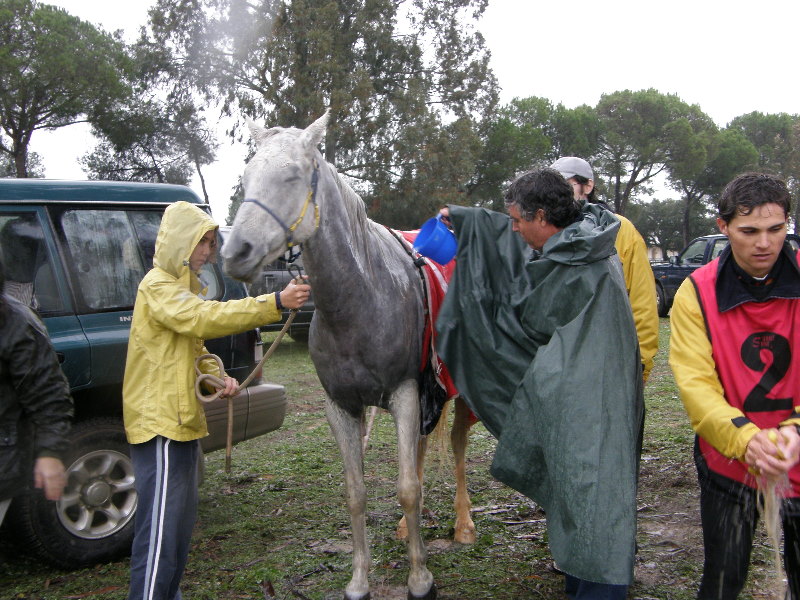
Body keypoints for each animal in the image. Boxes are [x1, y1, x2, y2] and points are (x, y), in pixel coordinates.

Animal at [220, 112, 476, 600]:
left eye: (292, 175)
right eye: (245, 177)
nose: (235, 252)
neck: (363, 297)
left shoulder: (404, 394)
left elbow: (408, 488)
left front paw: (420, 579)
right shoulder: (341, 407)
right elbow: (357, 493)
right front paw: (359, 580)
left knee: (455, 446)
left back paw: (464, 525)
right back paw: (407, 529)